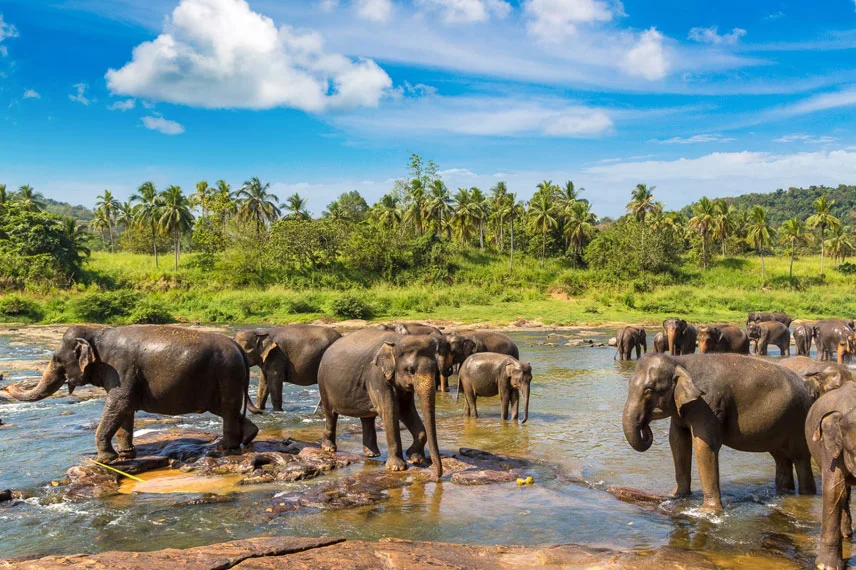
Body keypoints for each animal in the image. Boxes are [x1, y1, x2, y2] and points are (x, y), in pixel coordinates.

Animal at [3, 324, 258, 462]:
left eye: (56, 359)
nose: (6, 386)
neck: (97, 332)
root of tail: (238, 348)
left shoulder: (120, 369)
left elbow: (120, 402)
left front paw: (105, 459)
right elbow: (125, 408)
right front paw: (126, 454)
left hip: (227, 374)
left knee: (227, 409)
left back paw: (224, 447)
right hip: (222, 380)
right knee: (226, 410)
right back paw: (248, 437)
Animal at [318, 326, 444, 478]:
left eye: (435, 369)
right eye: (410, 370)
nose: (437, 475)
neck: (398, 340)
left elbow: (406, 409)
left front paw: (415, 458)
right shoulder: (377, 376)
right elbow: (390, 410)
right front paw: (397, 468)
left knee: (367, 418)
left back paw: (372, 455)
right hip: (323, 384)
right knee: (330, 413)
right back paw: (329, 448)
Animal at [620, 350, 816, 510]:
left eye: (649, 390)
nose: (644, 425)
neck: (680, 361)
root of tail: (806, 386)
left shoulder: (708, 405)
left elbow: (704, 445)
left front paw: (708, 512)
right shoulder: (682, 407)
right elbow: (677, 442)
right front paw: (676, 496)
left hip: (799, 420)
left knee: (800, 458)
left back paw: (807, 495)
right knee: (781, 458)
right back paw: (784, 492)